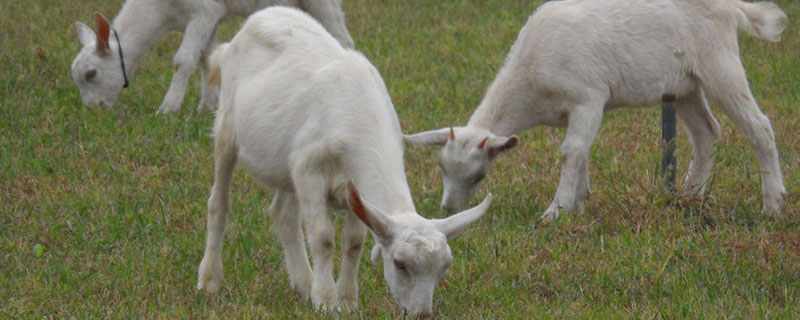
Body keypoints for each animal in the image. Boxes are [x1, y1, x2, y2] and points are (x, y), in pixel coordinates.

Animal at [72, 0, 354, 114]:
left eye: (91, 73)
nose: (93, 108)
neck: (163, 14)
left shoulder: (203, 11)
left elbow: (183, 59)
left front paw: (168, 108)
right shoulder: (212, 16)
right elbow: (205, 59)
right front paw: (207, 106)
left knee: (344, 41)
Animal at [197, 7, 490, 318]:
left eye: (444, 267)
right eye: (399, 263)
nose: (421, 313)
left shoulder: (353, 188)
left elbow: (354, 242)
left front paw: (347, 301)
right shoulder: (311, 172)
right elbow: (323, 237)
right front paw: (326, 301)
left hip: (287, 167)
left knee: (283, 215)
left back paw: (304, 283)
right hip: (227, 131)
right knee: (219, 204)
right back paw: (209, 280)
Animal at [406, 0, 788, 220]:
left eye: (479, 176)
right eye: (441, 168)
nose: (448, 209)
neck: (529, 79)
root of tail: (731, 6)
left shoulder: (589, 96)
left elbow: (570, 151)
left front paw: (556, 211)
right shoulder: (574, 111)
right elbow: (581, 152)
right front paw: (579, 201)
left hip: (719, 63)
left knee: (759, 128)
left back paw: (773, 204)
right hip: (684, 85)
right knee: (707, 133)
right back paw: (689, 196)